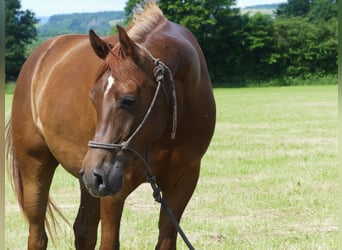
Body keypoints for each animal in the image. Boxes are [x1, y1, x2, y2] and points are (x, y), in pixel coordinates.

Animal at [6, 2, 216, 250]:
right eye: (93, 97)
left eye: (128, 100)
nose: (96, 175)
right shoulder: (114, 191)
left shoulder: (181, 185)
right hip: (39, 166)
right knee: (38, 234)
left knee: (83, 231)